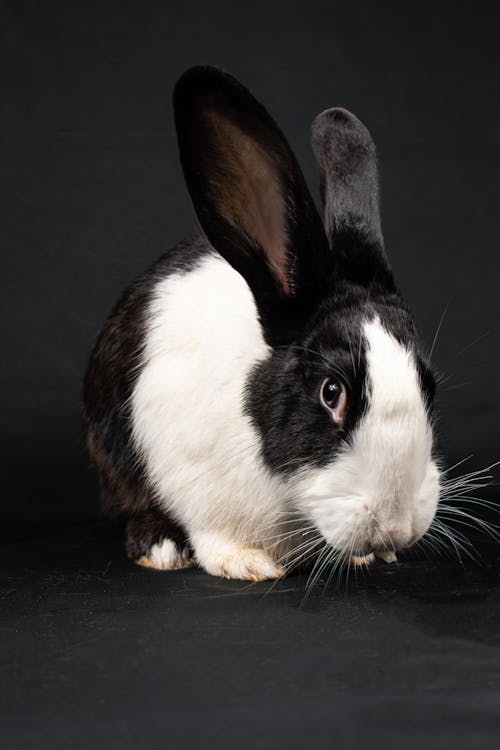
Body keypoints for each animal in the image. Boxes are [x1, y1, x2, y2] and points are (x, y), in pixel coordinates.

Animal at [84, 66, 440, 580]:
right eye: (331, 392)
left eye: (428, 386)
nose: (396, 525)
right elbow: (213, 532)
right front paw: (246, 563)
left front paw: (369, 555)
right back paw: (161, 548)